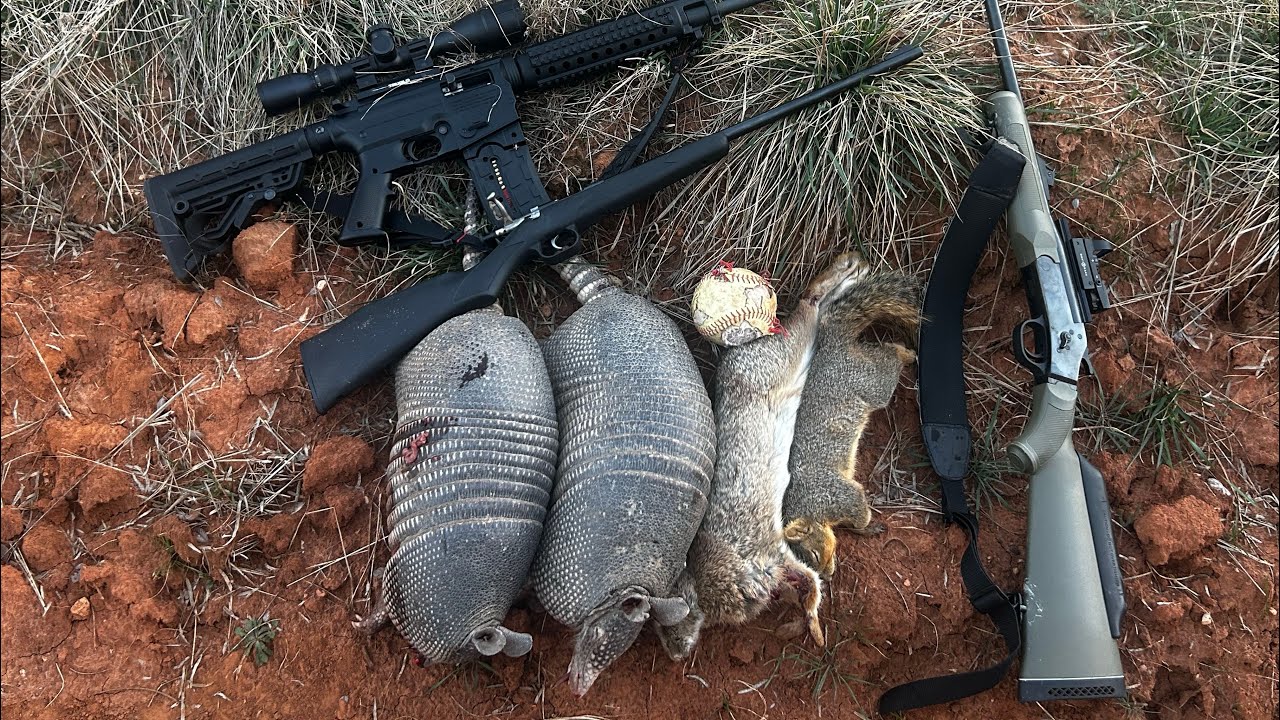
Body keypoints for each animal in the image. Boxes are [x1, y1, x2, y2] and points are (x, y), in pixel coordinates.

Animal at [657, 252, 886, 660]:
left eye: (669, 621)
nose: (675, 656)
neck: (701, 581)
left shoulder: (767, 558)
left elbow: (809, 585)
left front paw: (815, 631)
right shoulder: (780, 563)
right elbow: (809, 582)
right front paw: (812, 626)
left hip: (784, 352)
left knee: (808, 306)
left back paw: (847, 268)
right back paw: (852, 273)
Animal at [781, 269, 921, 578]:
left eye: (812, 552)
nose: (828, 575)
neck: (808, 507)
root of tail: (831, 344)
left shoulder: (835, 494)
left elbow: (859, 510)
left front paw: (866, 529)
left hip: (870, 382)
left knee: (888, 357)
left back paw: (906, 354)